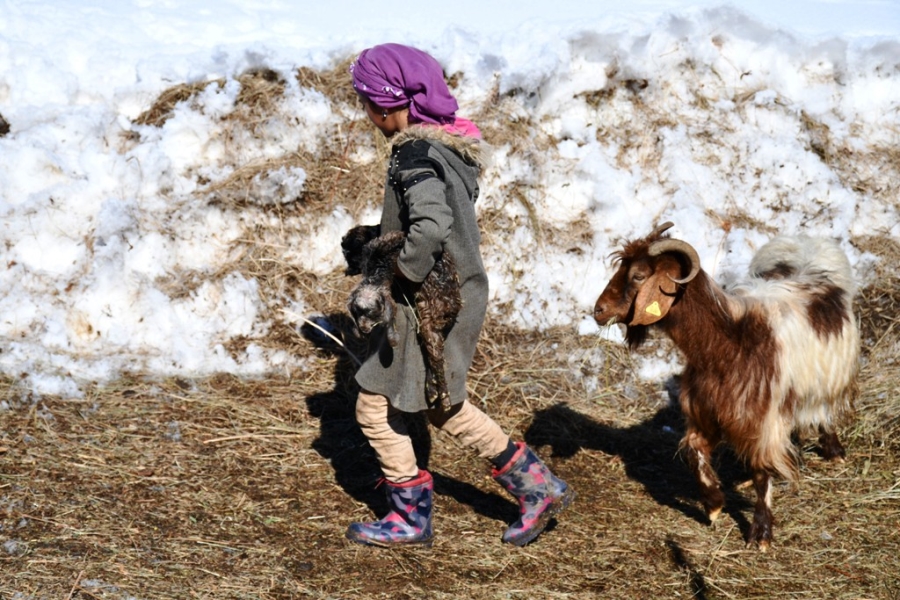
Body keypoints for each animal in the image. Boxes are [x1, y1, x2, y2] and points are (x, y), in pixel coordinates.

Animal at [340, 224, 460, 408]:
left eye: (349, 255)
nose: (347, 271)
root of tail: (454, 306)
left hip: (430, 319)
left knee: (436, 357)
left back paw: (444, 398)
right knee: (434, 351)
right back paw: (432, 390)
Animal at [592, 221, 856, 548]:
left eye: (638, 275)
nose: (599, 311)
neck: (728, 343)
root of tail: (811, 259)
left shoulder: (763, 420)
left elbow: (762, 473)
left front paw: (761, 533)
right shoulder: (706, 410)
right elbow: (695, 453)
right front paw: (714, 503)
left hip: (830, 379)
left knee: (826, 411)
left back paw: (834, 450)